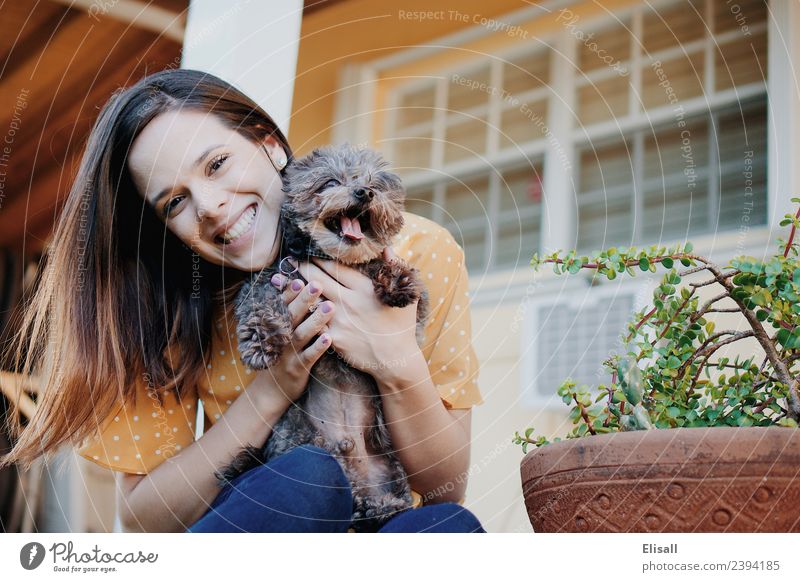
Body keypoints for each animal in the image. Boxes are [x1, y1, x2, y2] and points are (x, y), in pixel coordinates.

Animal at [219, 143, 428, 532]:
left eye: (374, 183)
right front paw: (262, 340)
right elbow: (260, 302)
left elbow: (396, 276)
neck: (337, 260)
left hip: (390, 470)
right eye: (331, 182)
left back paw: (383, 508)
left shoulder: (418, 313)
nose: (364, 193)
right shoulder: (273, 277)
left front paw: (396, 280)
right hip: (302, 440)